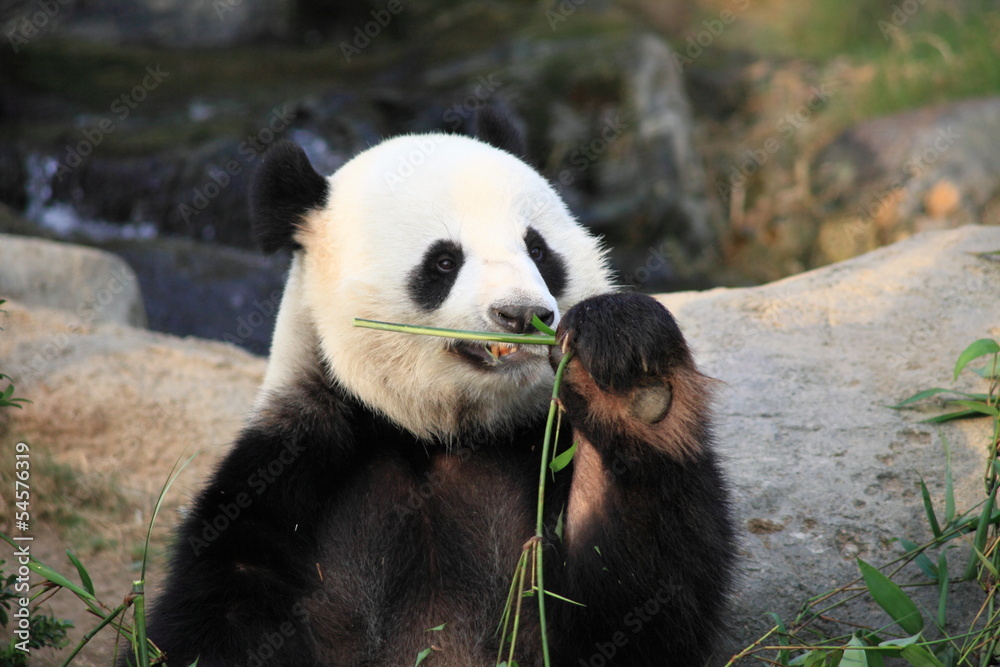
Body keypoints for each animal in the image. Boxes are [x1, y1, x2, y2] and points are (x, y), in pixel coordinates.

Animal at [139, 108, 736, 667]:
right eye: (444, 261)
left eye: (538, 250)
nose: (522, 314)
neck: (437, 434)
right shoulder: (287, 475)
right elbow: (214, 620)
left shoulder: (535, 459)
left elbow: (633, 611)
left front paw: (626, 375)